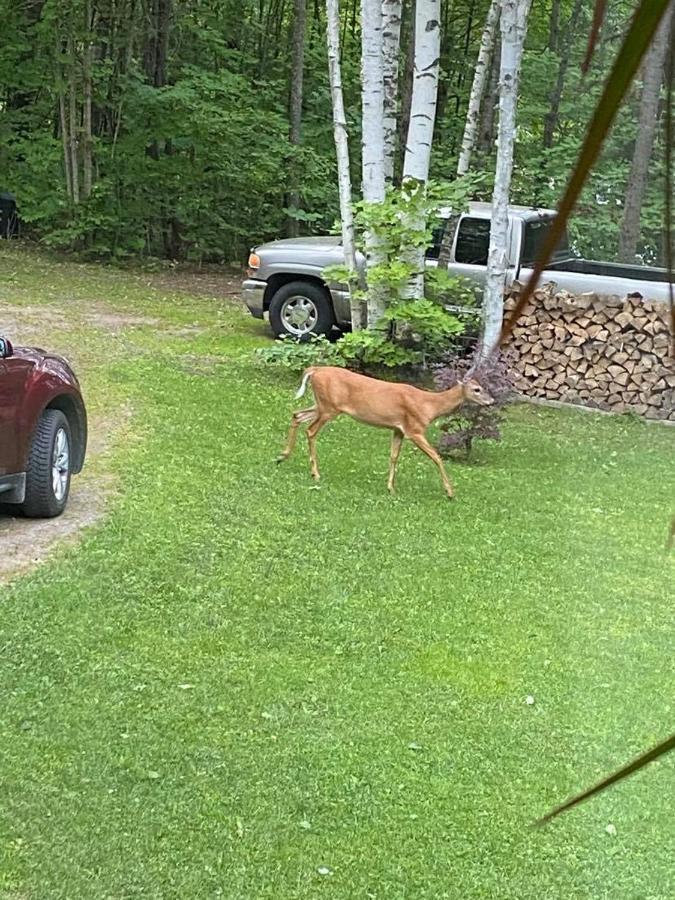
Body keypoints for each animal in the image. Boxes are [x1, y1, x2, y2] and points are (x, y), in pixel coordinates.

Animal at [276, 366, 496, 500]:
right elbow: (436, 457)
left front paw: (390, 487)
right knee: (310, 430)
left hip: (321, 405)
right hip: (329, 407)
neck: (429, 405)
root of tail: (315, 370)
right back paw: (315, 473)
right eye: (477, 389)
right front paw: (450, 492)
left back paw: (282, 456)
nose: (491, 401)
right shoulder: (414, 429)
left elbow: (393, 456)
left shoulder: (398, 429)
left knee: (296, 415)